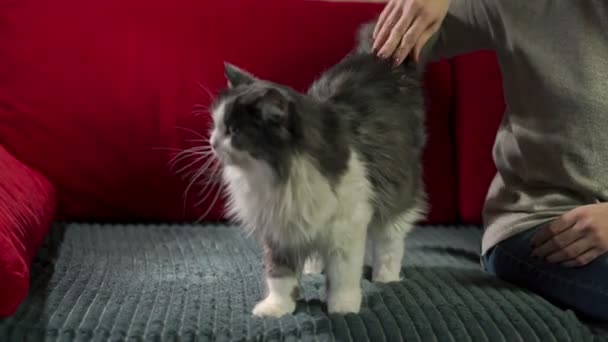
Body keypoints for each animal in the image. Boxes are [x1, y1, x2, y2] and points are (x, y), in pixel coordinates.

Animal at [209, 23, 428, 318]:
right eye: (216, 125)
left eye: (233, 131)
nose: (212, 143)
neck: (277, 177)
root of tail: (378, 60)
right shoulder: (279, 231)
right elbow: (279, 277)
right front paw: (276, 308)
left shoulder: (347, 227)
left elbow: (343, 276)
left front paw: (343, 308)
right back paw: (313, 268)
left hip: (397, 192)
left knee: (390, 242)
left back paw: (387, 278)